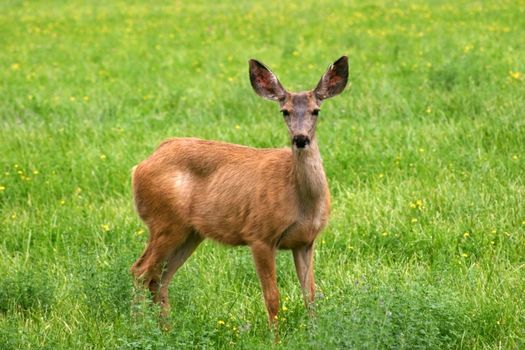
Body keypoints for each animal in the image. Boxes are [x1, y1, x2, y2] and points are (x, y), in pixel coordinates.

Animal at [128, 55, 346, 334]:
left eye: (316, 110)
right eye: (284, 111)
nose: (300, 139)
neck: (301, 201)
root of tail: (140, 166)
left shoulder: (306, 241)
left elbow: (310, 295)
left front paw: (314, 333)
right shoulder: (259, 235)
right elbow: (272, 297)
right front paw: (276, 338)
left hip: (190, 232)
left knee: (160, 278)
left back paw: (166, 331)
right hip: (164, 221)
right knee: (140, 271)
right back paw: (138, 329)